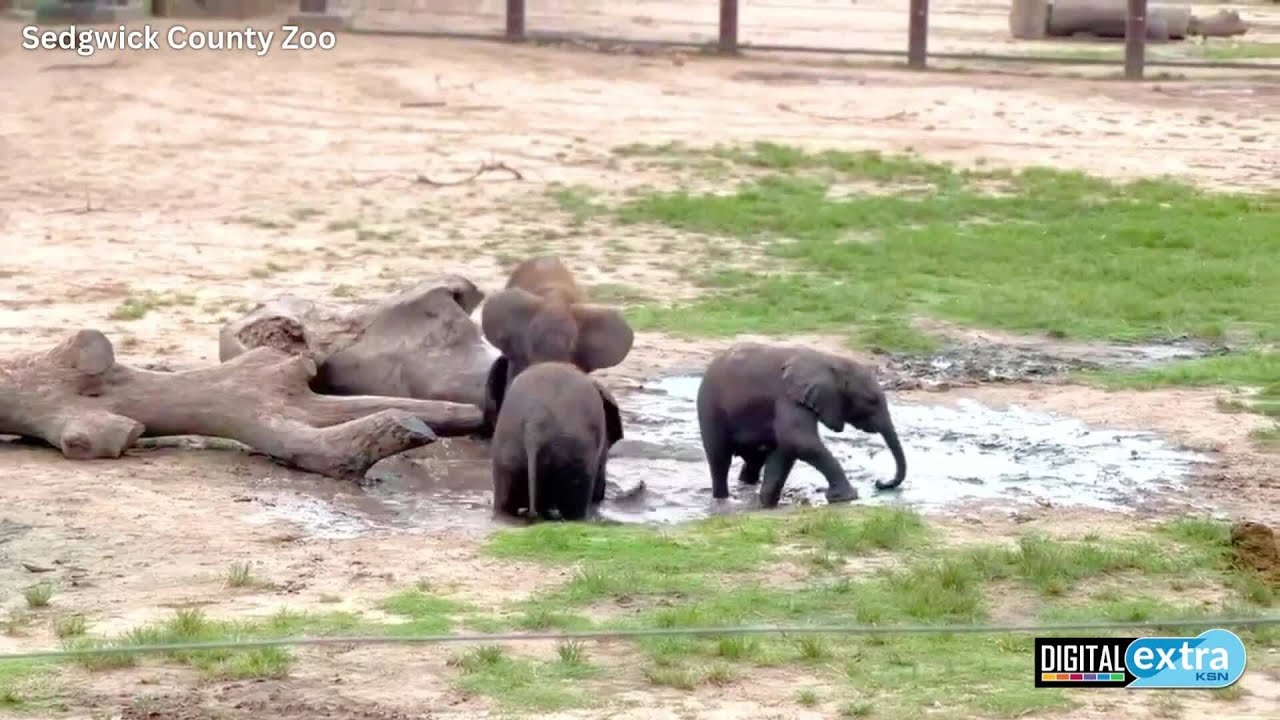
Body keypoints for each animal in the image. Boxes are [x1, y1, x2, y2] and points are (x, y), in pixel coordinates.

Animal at [695, 342, 907, 508]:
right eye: (872, 401)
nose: (880, 483)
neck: (831, 361)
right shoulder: (789, 397)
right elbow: (799, 440)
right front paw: (845, 498)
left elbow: (785, 448)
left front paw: (767, 503)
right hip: (710, 407)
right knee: (719, 459)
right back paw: (722, 501)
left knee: (755, 460)